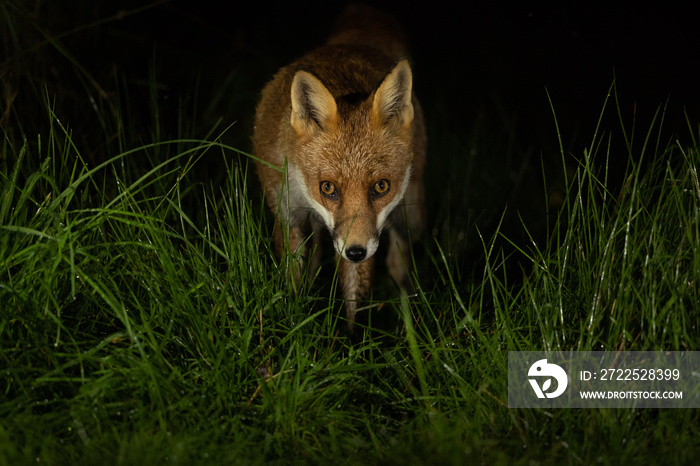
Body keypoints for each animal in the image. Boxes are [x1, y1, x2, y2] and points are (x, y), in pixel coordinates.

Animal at [253, 5, 426, 330]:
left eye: (381, 186)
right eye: (328, 188)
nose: (356, 252)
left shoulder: (366, 235)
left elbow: (354, 301)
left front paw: (351, 341)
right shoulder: (288, 214)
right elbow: (293, 281)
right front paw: (295, 326)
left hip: (410, 215)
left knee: (399, 262)